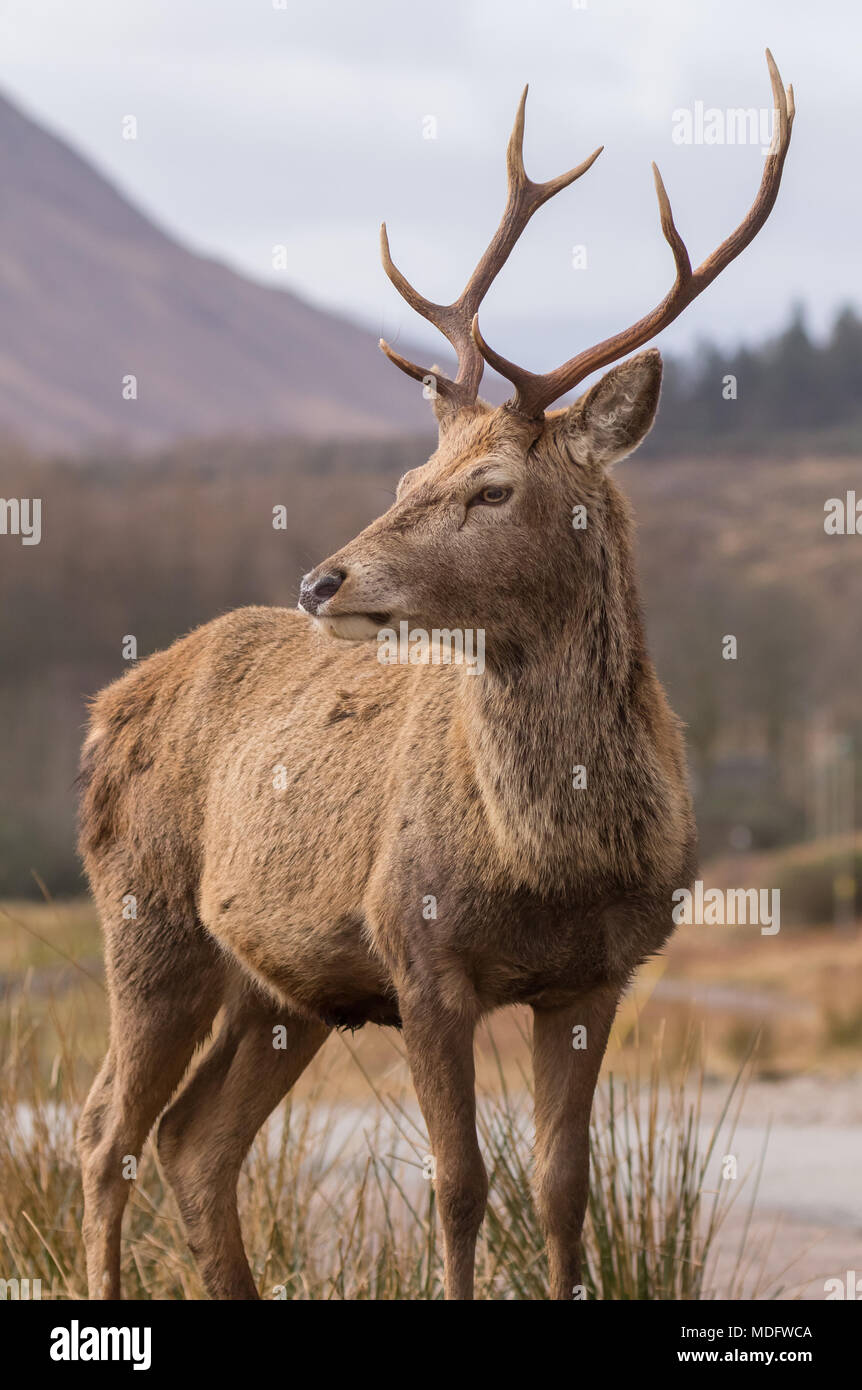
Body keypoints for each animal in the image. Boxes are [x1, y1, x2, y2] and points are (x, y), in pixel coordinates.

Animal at [77, 51, 793, 1301]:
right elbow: (457, 1188)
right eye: (412, 473)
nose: (321, 577)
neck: (551, 862)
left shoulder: (595, 977)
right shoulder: (418, 950)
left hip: (281, 985)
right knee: (102, 1128)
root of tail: (108, 705)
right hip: (144, 915)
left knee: (192, 1139)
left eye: (491, 487)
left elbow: (564, 1191)